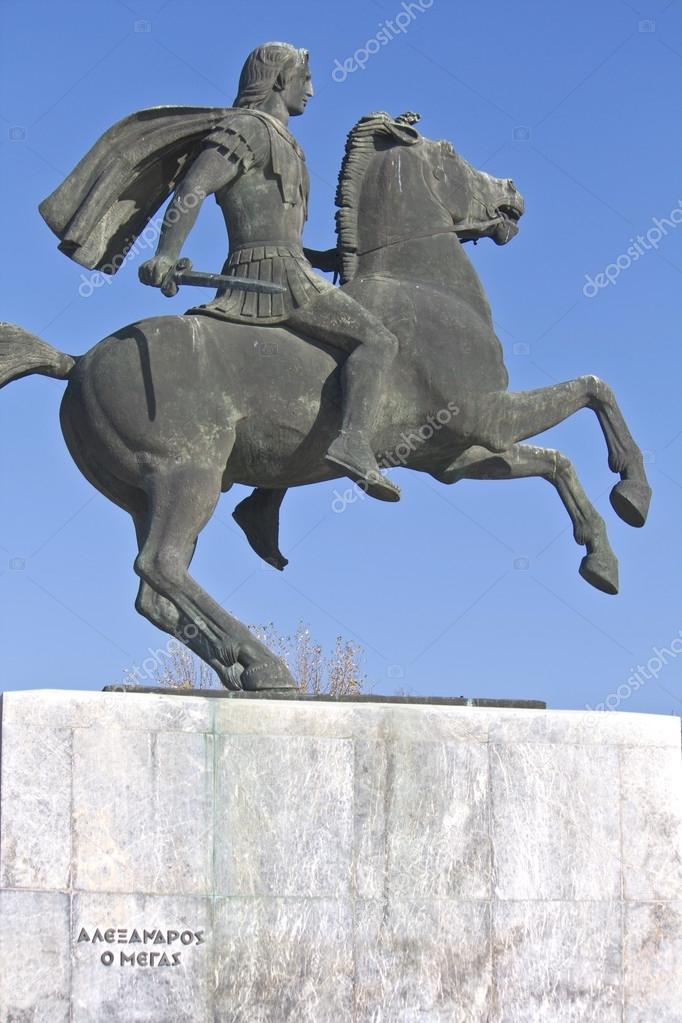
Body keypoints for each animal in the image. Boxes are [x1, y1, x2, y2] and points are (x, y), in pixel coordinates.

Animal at [0, 112, 650, 691]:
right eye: (451, 154)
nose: (513, 193)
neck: (427, 289)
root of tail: (77, 362)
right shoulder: (485, 416)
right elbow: (594, 389)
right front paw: (633, 495)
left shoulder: (454, 455)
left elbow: (557, 461)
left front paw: (603, 559)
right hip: (187, 473)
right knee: (160, 566)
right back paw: (265, 664)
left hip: (145, 494)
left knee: (154, 595)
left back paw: (244, 668)